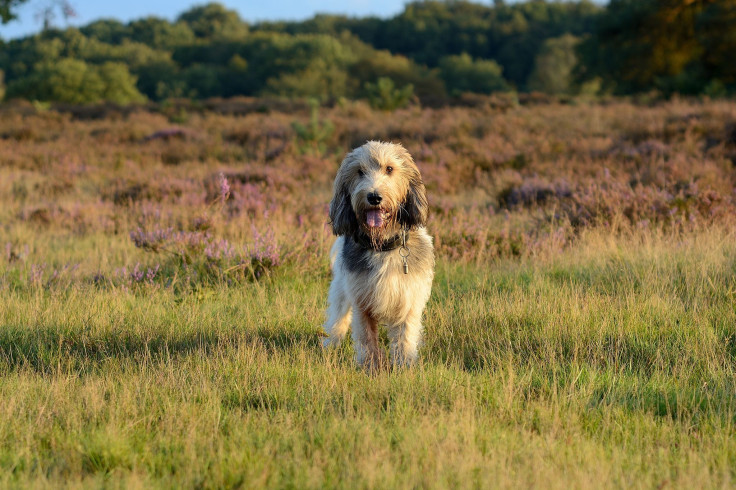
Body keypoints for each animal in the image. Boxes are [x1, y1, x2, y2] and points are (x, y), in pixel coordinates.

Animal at [320, 140, 432, 370]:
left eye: (389, 169)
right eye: (360, 171)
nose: (374, 196)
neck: (382, 246)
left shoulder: (408, 299)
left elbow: (404, 337)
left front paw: (403, 367)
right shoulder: (361, 300)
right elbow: (367, 338)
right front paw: (371, 368)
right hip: (341, 291)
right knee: (337, 319)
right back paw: (331, 343)